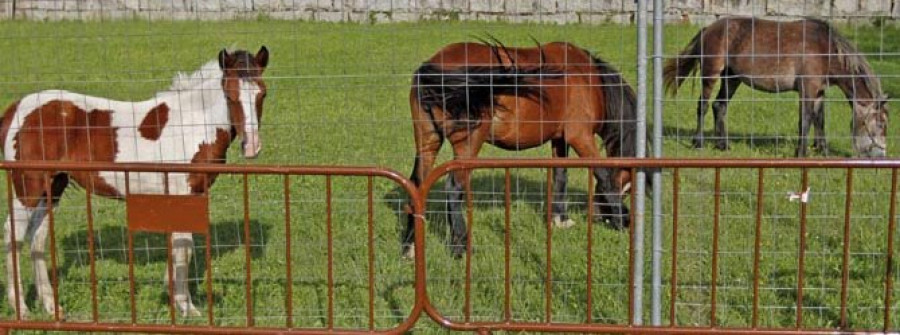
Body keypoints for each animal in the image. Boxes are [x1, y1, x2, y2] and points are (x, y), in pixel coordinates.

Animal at [0, 46, 268, 318]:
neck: (191, 123)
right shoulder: (183, 192)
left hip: (52, 189)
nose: (252, 146)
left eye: (262, 94)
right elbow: (185, 247)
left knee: (38, 237)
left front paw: (173, 295)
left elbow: (179, 247)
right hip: (28, 189)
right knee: (14, 235)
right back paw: (21, 308)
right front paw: (186, 306)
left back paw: (51, 306)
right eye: (230, 95)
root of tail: (15, 109)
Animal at [400, 41, 640, 258]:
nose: (601, 216)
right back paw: (460, 248)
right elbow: (604, 175)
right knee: (453, 188)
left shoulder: (560, 139)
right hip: (467, 144)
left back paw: (409, 247)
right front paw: (621, 220)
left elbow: (561, 176)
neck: (587, 79)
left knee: (417, 185)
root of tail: (431, 67)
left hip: (428, 143)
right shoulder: (580, 137)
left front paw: (560, 219)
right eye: (627, 184)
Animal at [664, 15, 888, 158]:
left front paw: (822, 151)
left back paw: (723, 145)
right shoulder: (807, 90)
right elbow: (805, 120)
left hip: (732, 78)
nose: (882, 155)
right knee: (702, 105)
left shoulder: (818, 92)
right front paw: (801, 152)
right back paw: (698, 142)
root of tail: (708, 29)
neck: (826, 50)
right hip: (711, 74)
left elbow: (819, 120)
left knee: (719, 106)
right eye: (881, 124)